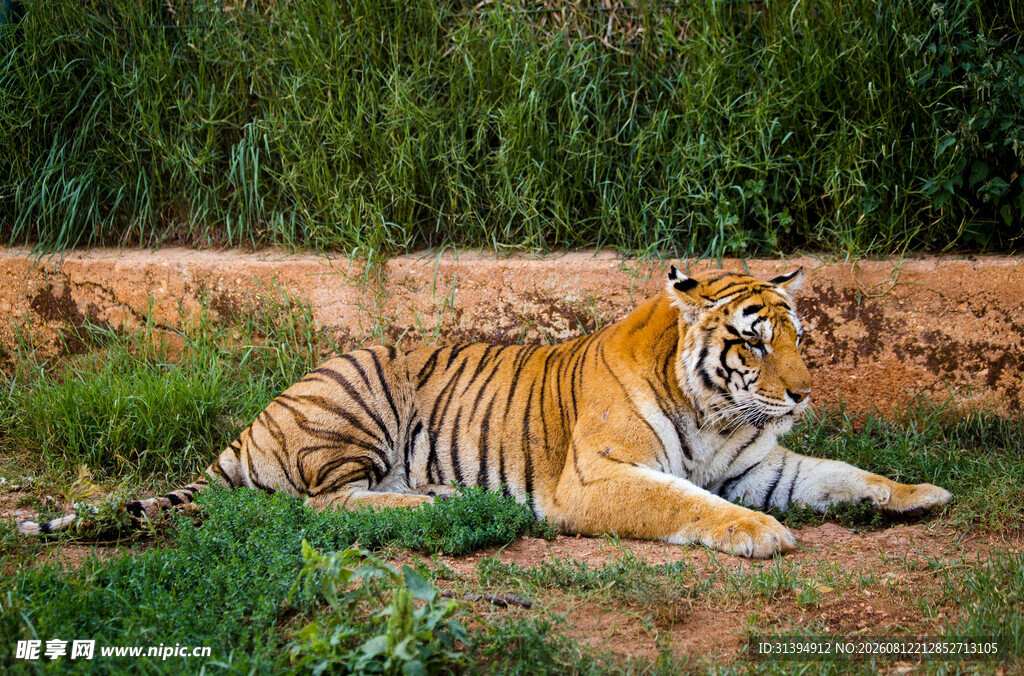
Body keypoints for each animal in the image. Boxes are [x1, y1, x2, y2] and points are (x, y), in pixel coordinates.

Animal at [18, 266, 952, 558]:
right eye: (753, 345)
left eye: (797, 337)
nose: (801, 393)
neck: (718, 417)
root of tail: (250, 429)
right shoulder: (597, 479)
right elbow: (684, 502)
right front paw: (756, 533)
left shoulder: (763, 463)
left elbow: (839, 472)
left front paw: (920, 495)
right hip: (356, 404)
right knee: (320, 505)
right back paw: (431, 500)